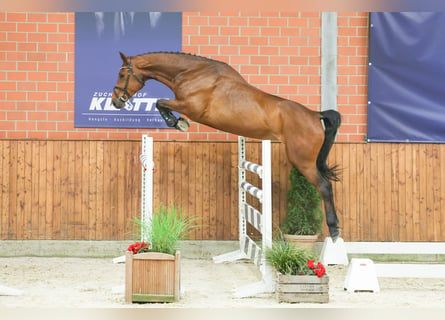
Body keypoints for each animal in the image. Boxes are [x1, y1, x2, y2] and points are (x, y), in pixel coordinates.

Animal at [112, 52, 342, 241]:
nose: (116, 101)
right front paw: (178, 122)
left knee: (324, 186)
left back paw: (334, 229)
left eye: (122, 75)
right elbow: (160, 102)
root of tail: (315, 115)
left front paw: (178, 123)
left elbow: (160, 102)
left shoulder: (191, 107)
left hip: (303, 161)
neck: (192, 73)